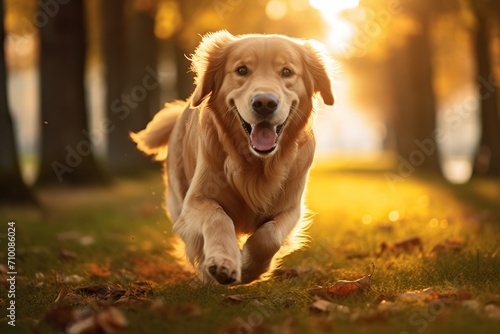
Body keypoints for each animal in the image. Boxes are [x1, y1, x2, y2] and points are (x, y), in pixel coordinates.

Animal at [131, 30, 334, 284]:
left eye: (287, 72)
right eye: (242, 70)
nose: (264, 103)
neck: (256, 164)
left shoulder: (291, 208)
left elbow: (270, 236)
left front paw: (248, 268)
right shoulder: (196, 199)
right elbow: (218, 217)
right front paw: (223, 262)